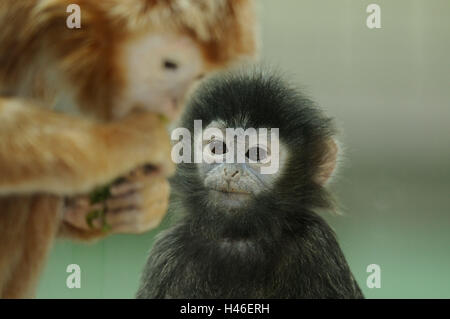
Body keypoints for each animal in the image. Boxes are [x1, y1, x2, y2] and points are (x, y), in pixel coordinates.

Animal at [136, 70, 362, 300]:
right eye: (218, 148)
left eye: (256, 153)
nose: (231, 171)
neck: (239, 240)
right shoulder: (167, 253)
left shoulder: (318, 246)